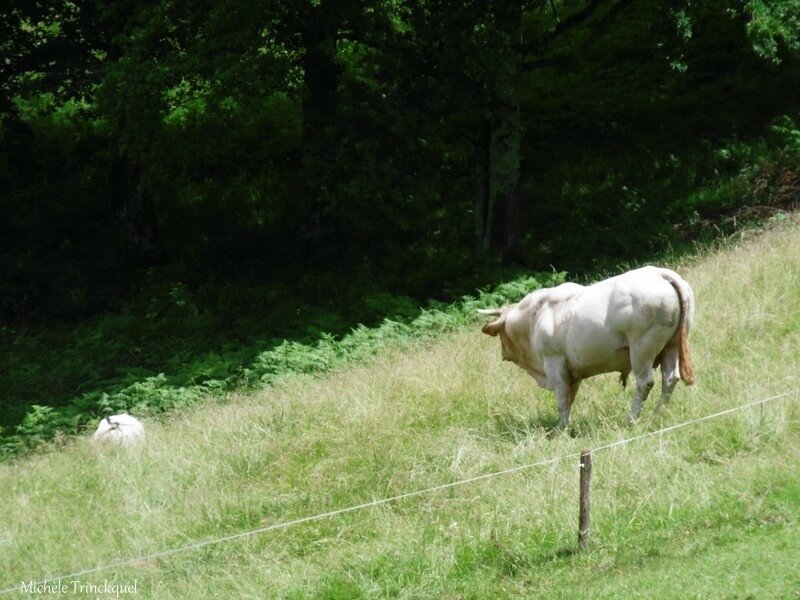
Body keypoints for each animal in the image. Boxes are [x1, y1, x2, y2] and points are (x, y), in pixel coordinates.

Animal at [482, 268, 692, 426]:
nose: (502, 353)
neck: (534, 316)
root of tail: (660, 273)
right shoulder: (573, 372)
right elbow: (570, 398)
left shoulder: (554, 363)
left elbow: (561, 400)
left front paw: (562, 428)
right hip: (671, 346)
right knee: (670, 379)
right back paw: (657, 415)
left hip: (642, 351)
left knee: (645, 383)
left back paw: (630, 420)